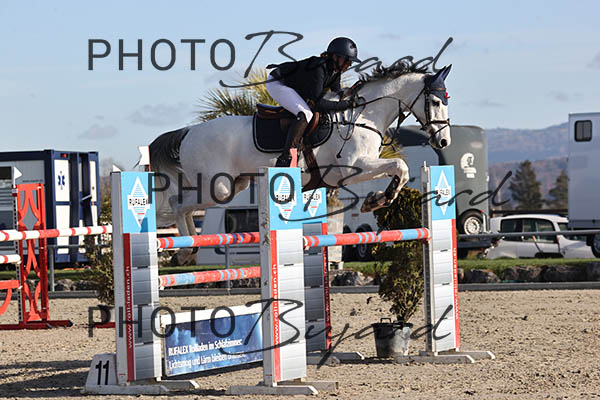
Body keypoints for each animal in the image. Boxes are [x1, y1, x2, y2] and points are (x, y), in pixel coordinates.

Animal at [149, 63, 453, 264]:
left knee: (185, 205)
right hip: (219, 187)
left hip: (234, 185)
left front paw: (376, 199)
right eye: (436, 102)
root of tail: (188, 132)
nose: (444, 141)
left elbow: (399, 170)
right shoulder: (350, 170)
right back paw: (184, 250)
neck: (362, 116)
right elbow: (399, 166)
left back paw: (188, 249)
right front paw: (377, 200)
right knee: (178, 203)